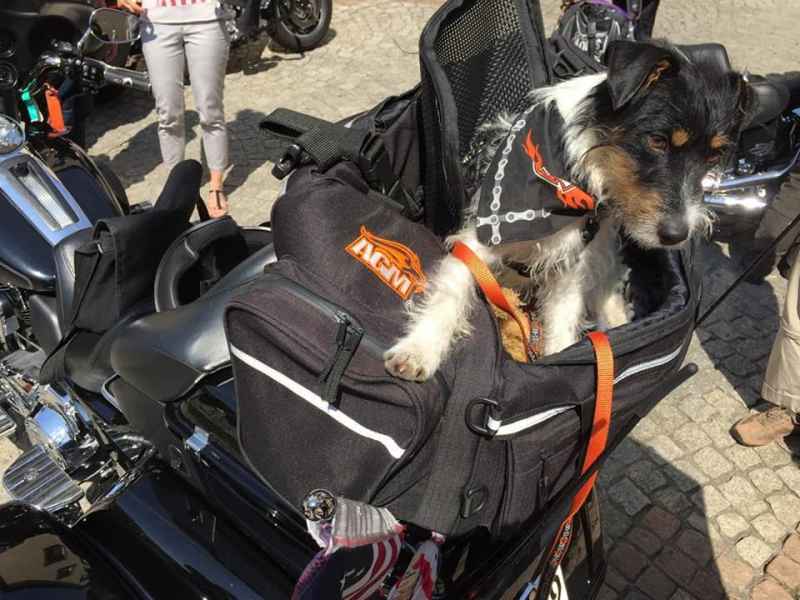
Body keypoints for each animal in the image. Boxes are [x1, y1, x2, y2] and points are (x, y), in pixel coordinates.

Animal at [384, 40, 752, 382]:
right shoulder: (476, 241)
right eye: (657, 141)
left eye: (713, 156)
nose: (677, 235)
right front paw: (419, 349)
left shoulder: (571, 268)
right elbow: (450, 292)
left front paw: (561, 363)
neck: (574, 175)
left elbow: (561, 325)